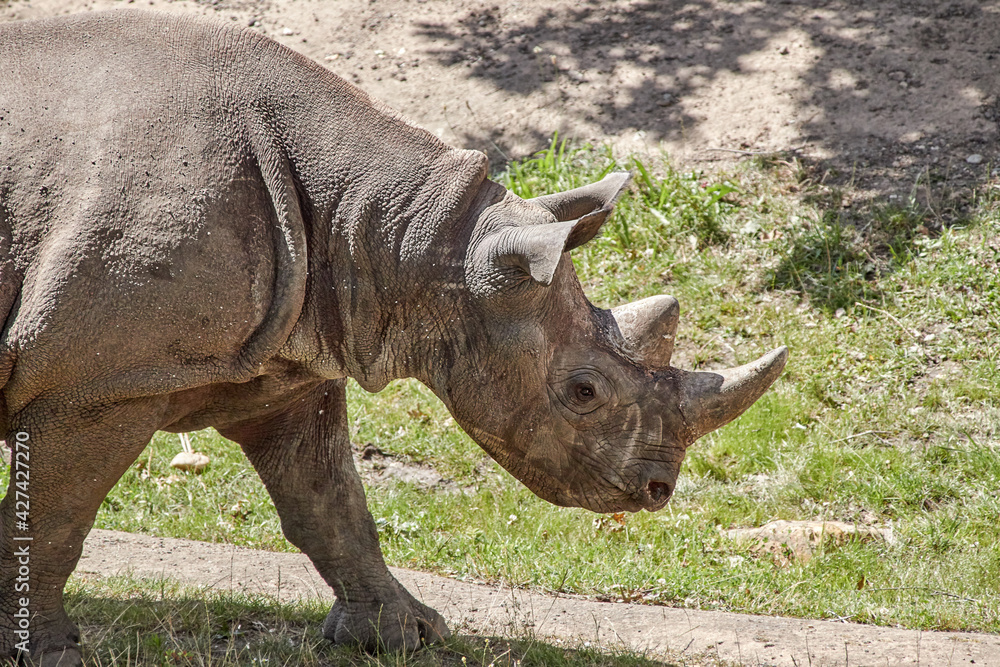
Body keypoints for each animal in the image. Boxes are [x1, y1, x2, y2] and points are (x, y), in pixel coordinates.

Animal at [0, 9, 787, 666]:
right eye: (583, 391)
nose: (657, 489)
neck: (408, 233)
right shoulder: (102, 383)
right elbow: (58, 513)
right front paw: (46, 652)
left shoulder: (284, 360)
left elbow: (329, 503)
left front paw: (404, 634)